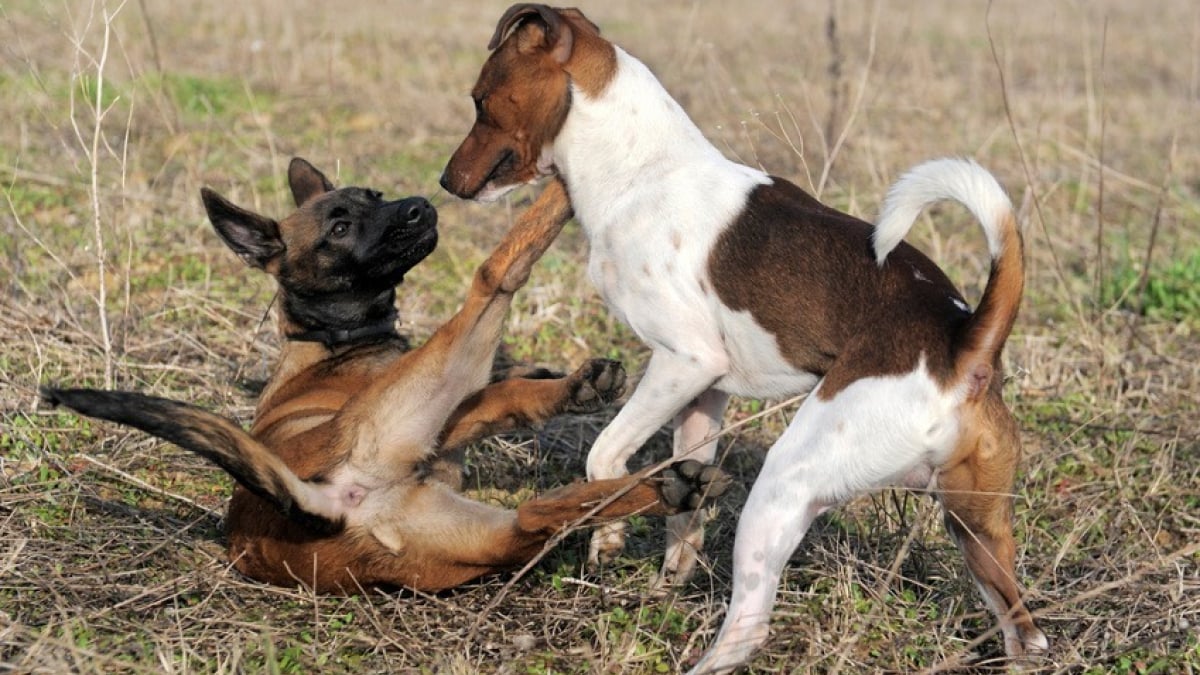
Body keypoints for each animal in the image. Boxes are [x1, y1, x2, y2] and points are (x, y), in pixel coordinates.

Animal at [42, 157, 724, 593]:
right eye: (339, 227)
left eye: (373, 196)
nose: (420, 206)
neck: (330, 342)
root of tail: (312, 505)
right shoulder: (436, 410)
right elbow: (494, 386)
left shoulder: (449, 423)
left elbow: (503, 393)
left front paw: (574, 387)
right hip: (444, 382)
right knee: (494, 275)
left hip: (480, 535)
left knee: (535, 514)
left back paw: (671, 486)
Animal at [444, 3, 1051, 667]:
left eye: (479, 101)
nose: (445, 182)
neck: (641, 169)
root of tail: (965, 341)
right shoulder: (704, 395)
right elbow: (684, 502)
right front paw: (670, 569)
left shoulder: (684, 362)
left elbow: (603, 454)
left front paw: (606, 535)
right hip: (977, 526)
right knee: (1025, 631)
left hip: (786, 485)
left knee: (749, 627)